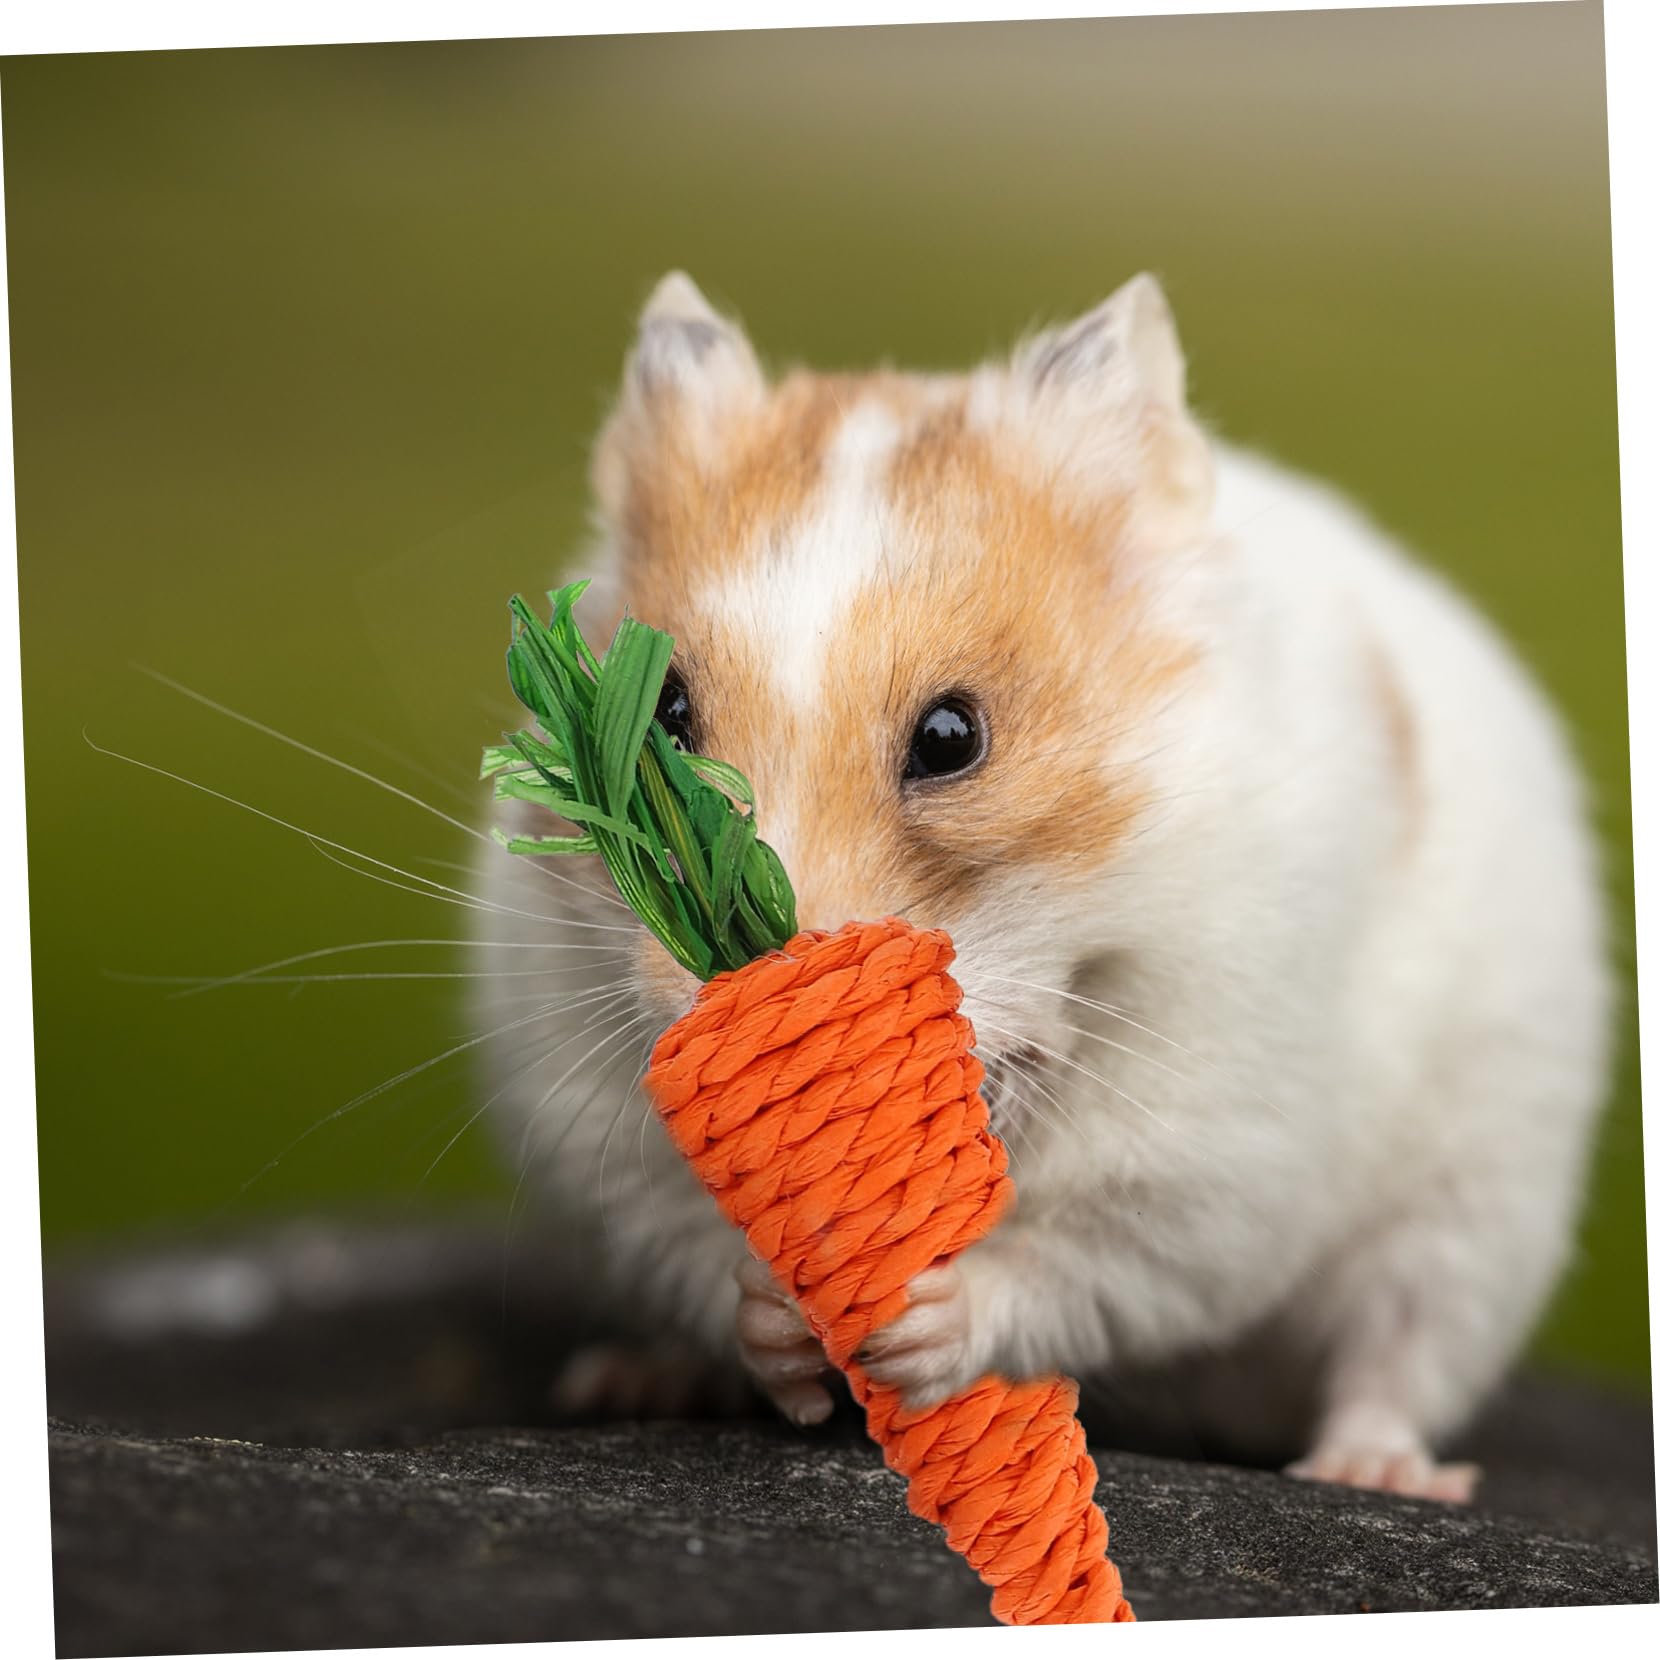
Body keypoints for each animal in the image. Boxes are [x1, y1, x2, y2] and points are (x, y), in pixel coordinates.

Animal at [472, 271, 1611, 1500]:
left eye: (951, 737)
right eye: (665, 716)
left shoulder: (1208, 1162)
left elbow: (1075, 1264)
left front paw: (918, 1320)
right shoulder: (599, 1133)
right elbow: (701, 1251)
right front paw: (778, 1316)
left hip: (1476, 1208)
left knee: (1397, 1353)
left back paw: (1373, 1472)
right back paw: (626, 1380)